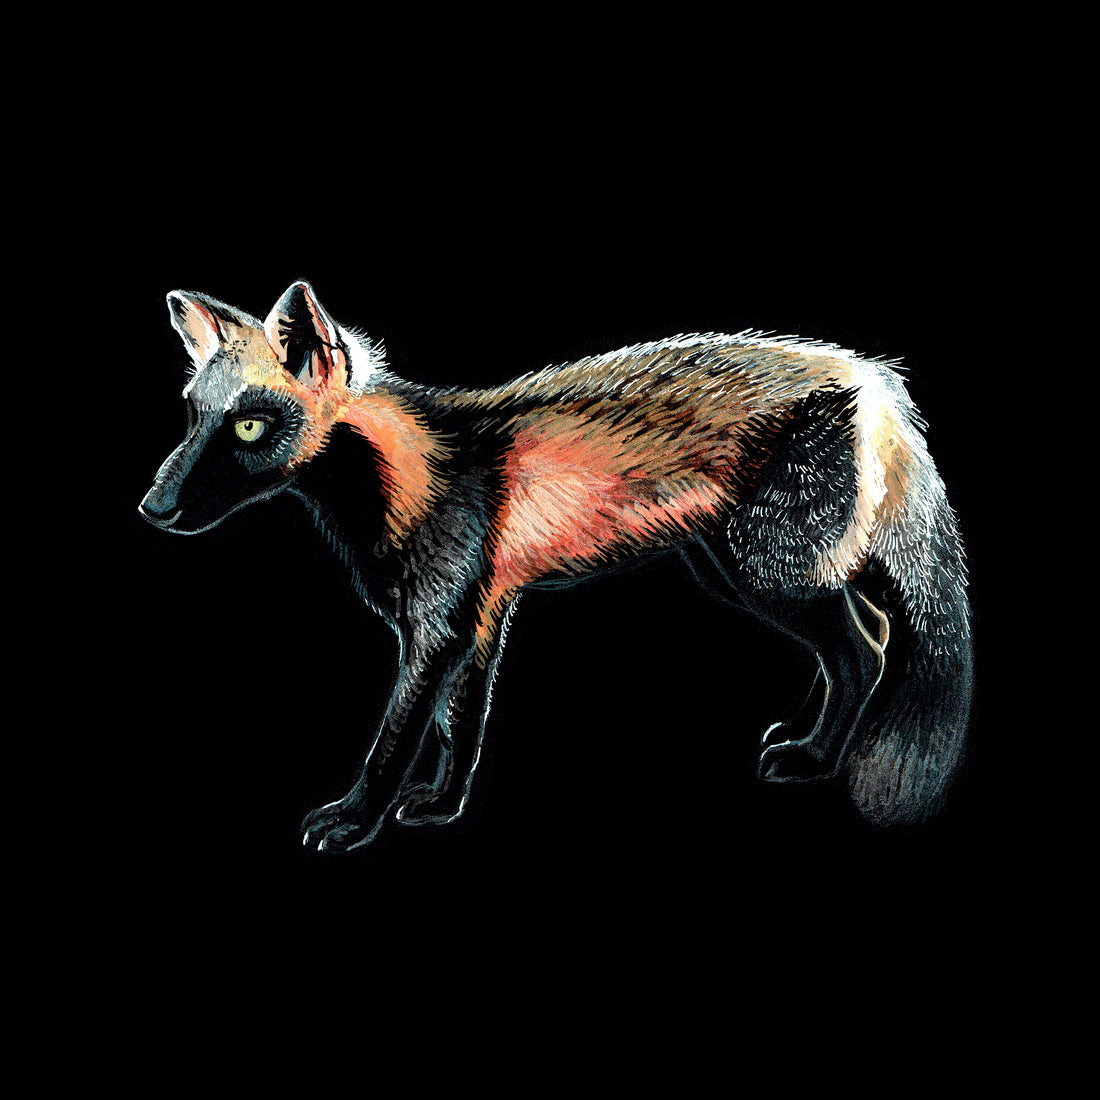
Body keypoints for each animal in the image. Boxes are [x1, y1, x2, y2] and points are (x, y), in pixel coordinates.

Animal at [140, 280, 972, 852]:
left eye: (249, 427)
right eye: (192, 415)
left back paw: (816, 758)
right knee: (860, 638)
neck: (408, 481)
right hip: (738, 569)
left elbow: (394, 742)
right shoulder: (480, 619)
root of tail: (870, 377)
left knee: (867, 644)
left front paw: (354, 822)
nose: (152, 508)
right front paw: (442, 808)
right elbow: (461, 729)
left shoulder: (440, 627)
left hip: (767, 570)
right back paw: (807, 734)